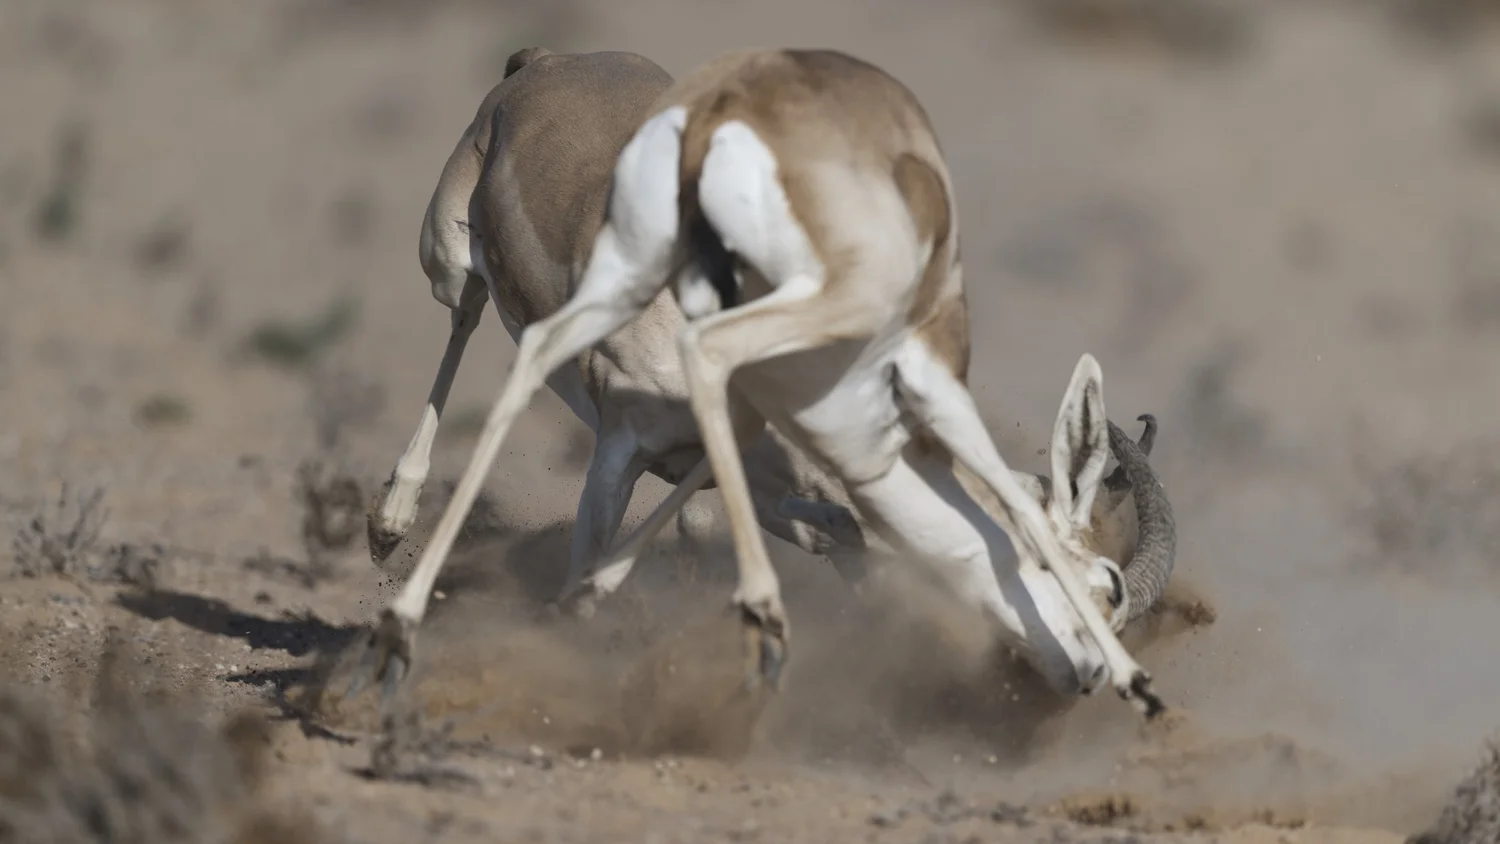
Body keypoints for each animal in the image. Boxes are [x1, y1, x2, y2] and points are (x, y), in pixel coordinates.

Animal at [348, 47, 1172, 719]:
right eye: (1105, 581)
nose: (1092, 674)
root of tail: (545, 62)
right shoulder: (618, 453)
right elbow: (601, 542)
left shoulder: (764, 478)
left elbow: (780, 518)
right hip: (447, 265)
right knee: (468, 317)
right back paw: (390, 532)